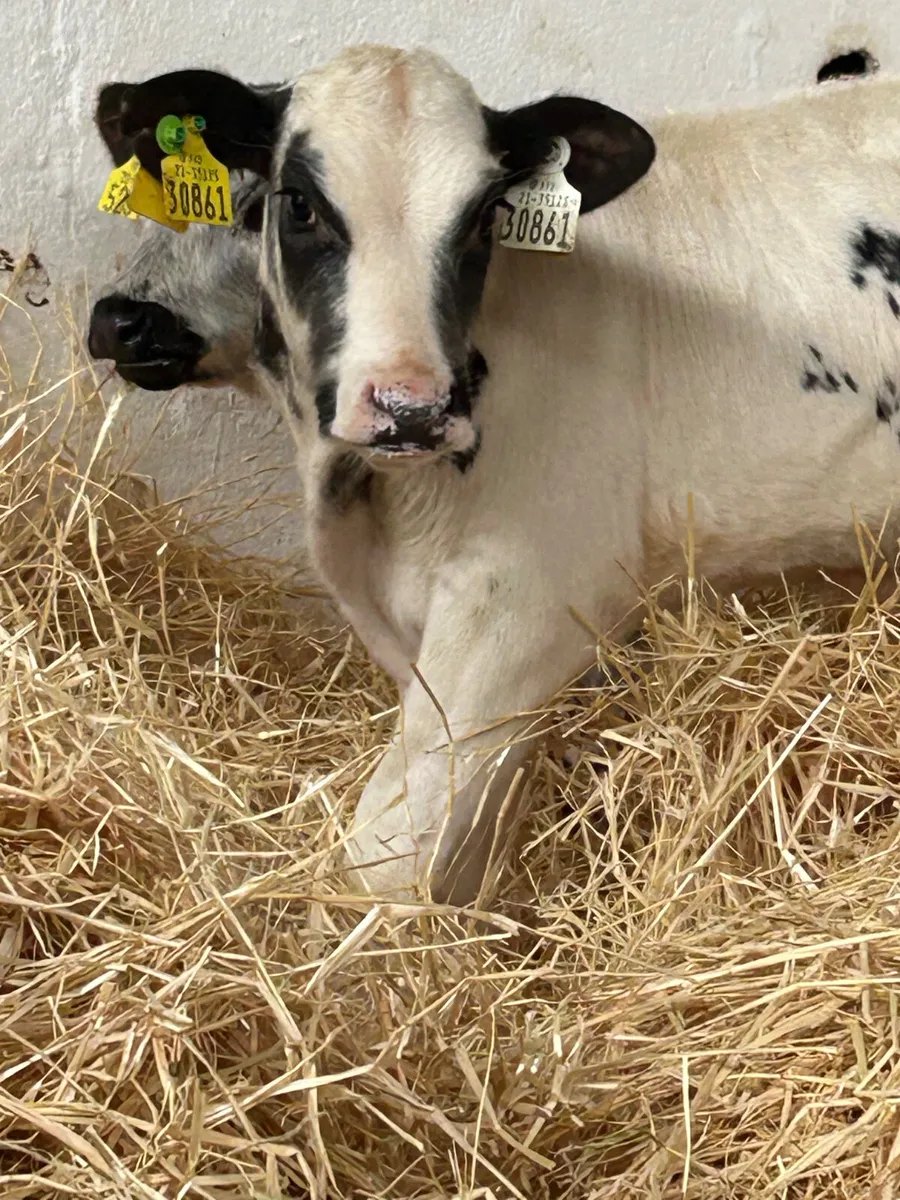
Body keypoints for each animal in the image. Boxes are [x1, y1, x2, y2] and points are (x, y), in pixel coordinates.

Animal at [89, 49, 900, 907]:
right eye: (299, 204)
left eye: (484, 216)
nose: (120, 319)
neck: (367, 510)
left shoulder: (526, 600)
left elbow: (386, 852)